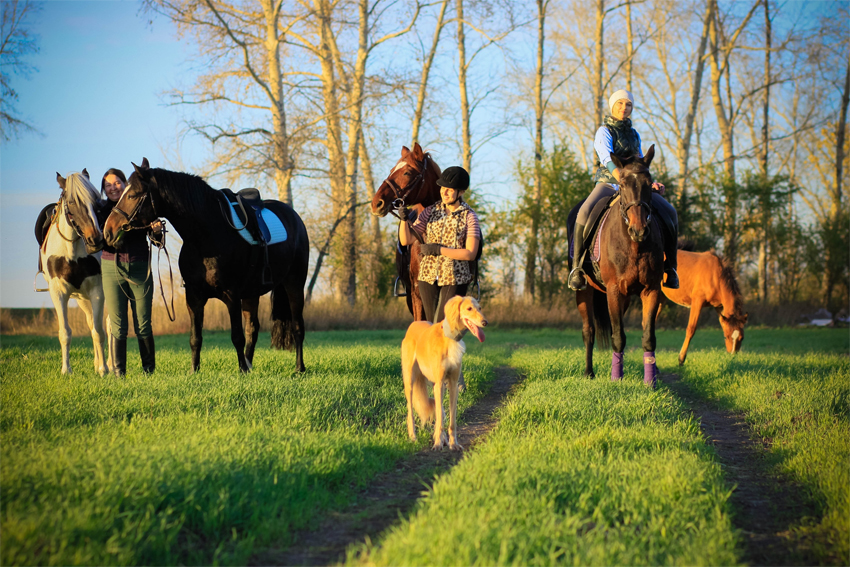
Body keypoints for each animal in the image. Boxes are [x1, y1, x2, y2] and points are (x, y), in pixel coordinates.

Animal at [38, 170, 110, 378]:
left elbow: (99, 332)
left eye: (95, 201)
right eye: (71, 202)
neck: (71, 254)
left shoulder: (97, 292)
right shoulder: (59, 294)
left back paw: (107, 363)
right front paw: (66, 370)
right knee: (90, 322)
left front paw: (104, 369)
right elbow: (65, 333)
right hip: (81, 299)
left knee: (104, 326)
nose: (95, 239)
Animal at [102, 158, 308, 374]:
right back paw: (251, 365)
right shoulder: (194, 296)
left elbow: (237, 336)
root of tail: (294, 217)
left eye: (132, 195)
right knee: (253, 327)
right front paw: (194, 371)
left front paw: (242, 371)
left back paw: (298, 369)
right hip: (252, 293)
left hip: (294, 284)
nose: (108, 231)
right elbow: (195, 338)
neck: (206, 236)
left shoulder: (231, 295)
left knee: (297, 327)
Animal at [400, 296, 486, 450]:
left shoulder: (452, 384)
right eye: (469, 308)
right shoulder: (439, 383)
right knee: (411, 413)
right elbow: (439, 417)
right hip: (410, 382)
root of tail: (415, 323)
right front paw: (438, 443)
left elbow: (451, 419)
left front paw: (453, 443)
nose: (485, 322)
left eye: (480, 308)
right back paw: (413, 437)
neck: (449, 337)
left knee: (439, 410)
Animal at [568, 144, 664, 388]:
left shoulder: (651, 290)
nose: (639, 230)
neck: (634, 246)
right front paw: (616, 379)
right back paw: (589, 373)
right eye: (622, 185)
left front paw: (650, 382)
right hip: (584, 292)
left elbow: (648, 337)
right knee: (589, 331)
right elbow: (618, 336)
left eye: (649, 183)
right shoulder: (613, 290)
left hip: (626, 298)